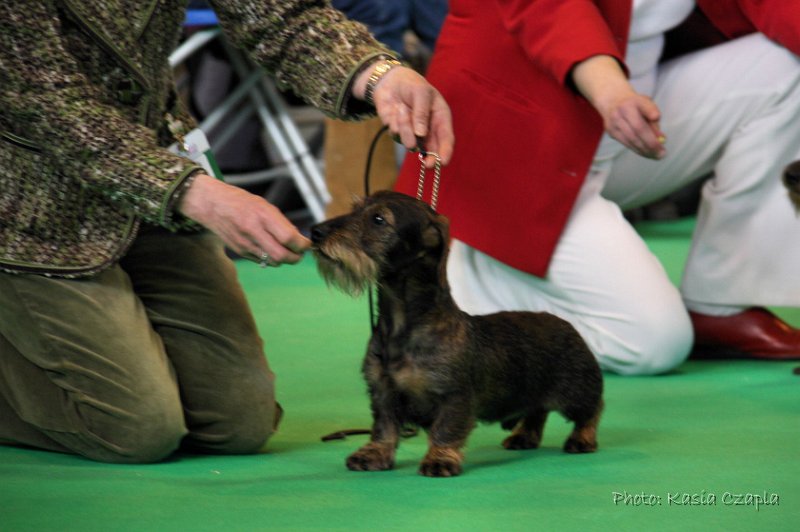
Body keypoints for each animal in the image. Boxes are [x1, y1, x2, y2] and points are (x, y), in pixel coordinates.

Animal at [310, 192, 604, 478]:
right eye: (355, 209)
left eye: (379, 219)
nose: (315, 232)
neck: (401, 326)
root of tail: (565, 324)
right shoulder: (383, 391)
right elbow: (384, 428)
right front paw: (373, 454)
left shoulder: (453, 396)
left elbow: (446, 429)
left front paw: (439, 459)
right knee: (537, 412)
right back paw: (523, 437)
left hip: (576, 391)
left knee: (592, 409)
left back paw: (582, 439)